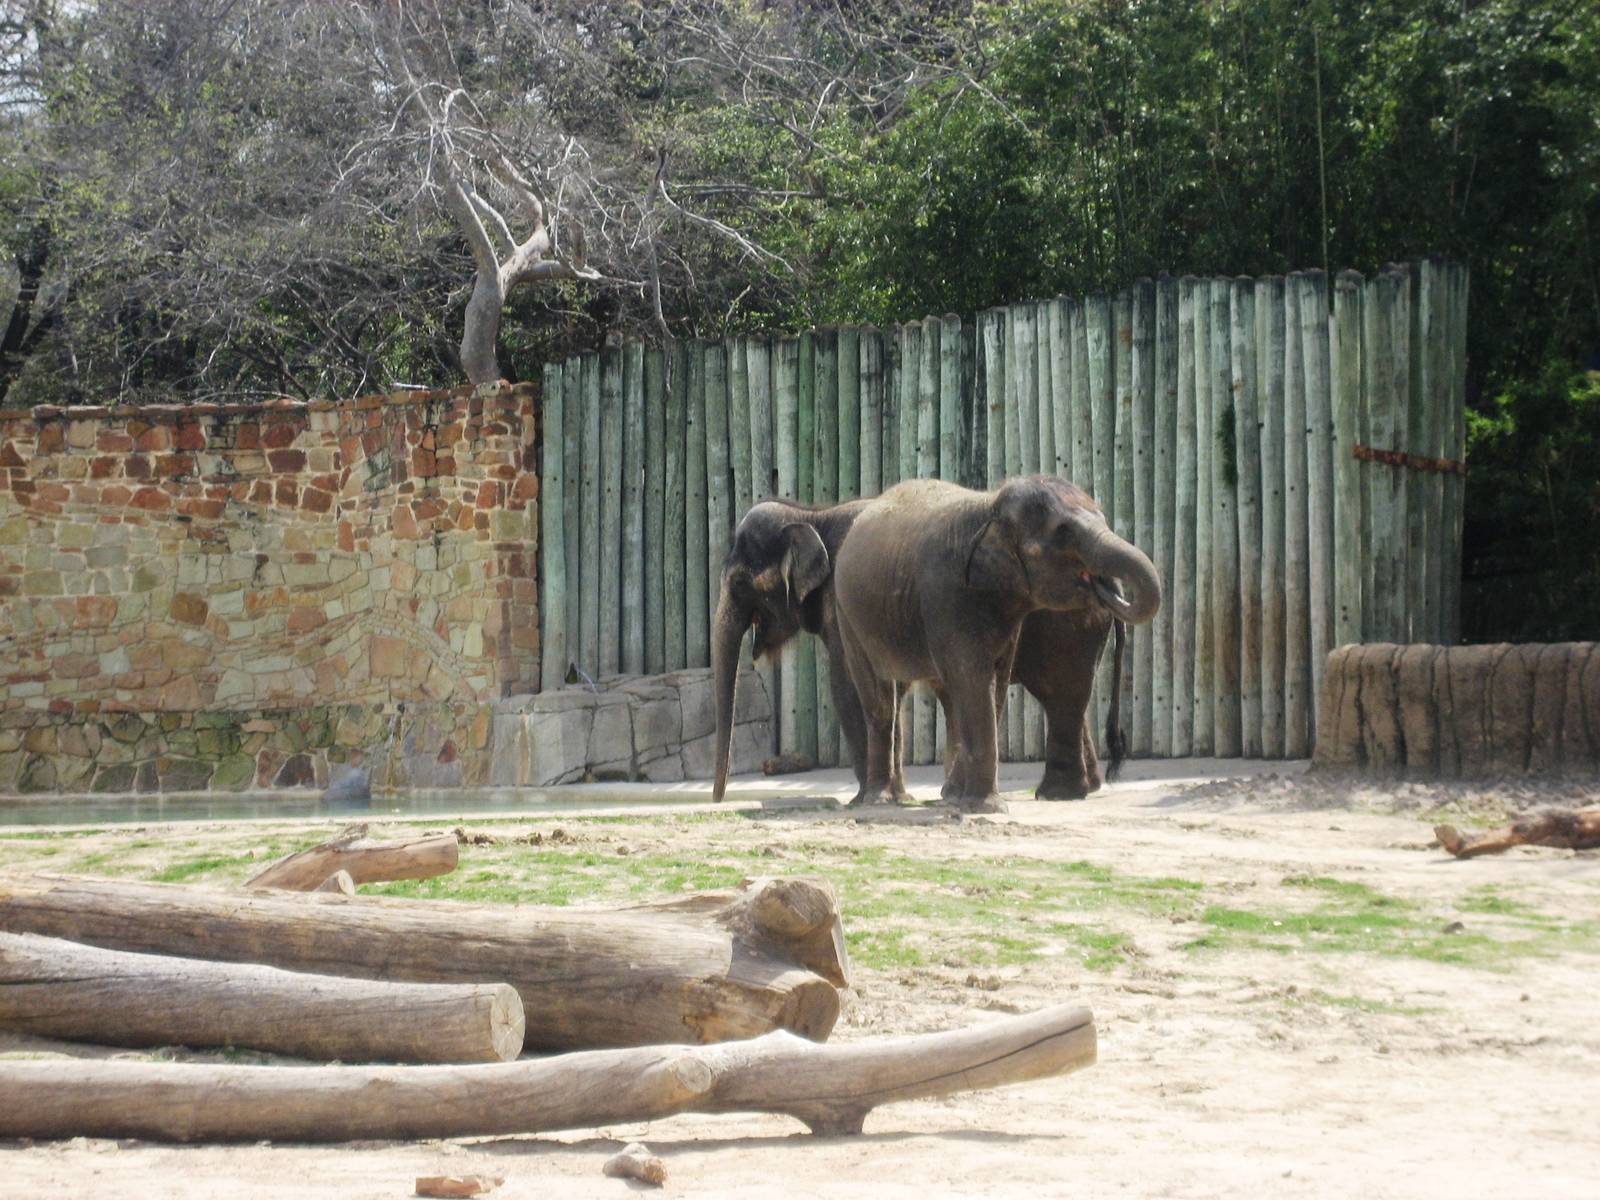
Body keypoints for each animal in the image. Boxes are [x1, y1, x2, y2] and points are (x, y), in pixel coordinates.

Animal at [709, 478, 1159, 807]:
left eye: (740, 583)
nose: (718, 800)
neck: (811, 514)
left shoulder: (843, 606)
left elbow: (847, 689)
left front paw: (871, 797)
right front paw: (904, 796)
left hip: (1070, 625)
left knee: (1061, 693)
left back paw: (1055, 794)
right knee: (1066, 697)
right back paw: (1071, 792)